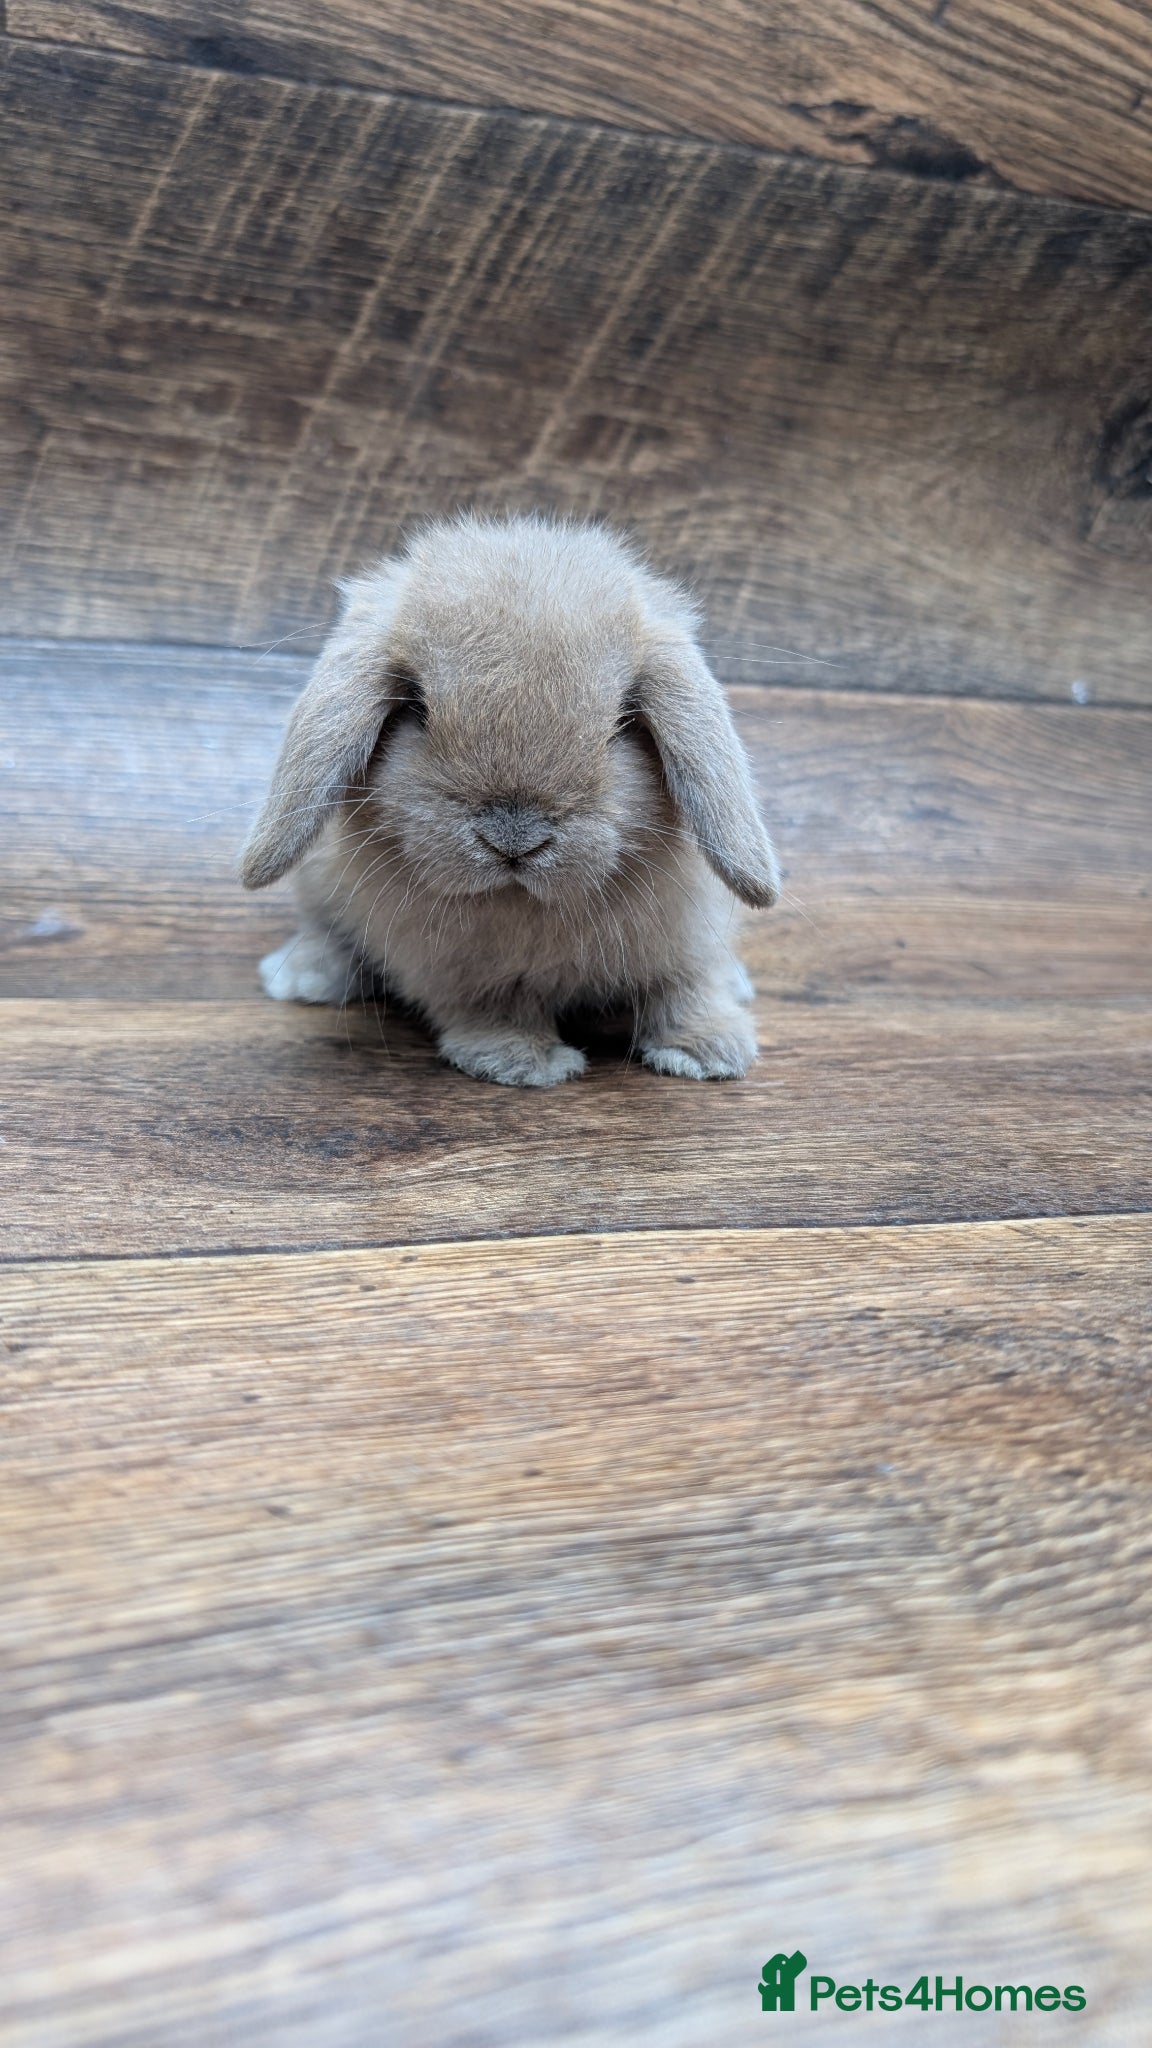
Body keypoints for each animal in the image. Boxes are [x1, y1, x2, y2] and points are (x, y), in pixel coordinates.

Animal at [240, 514, 779, 1087]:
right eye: (415, 707)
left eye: (622, 720)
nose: (514, 837)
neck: (524, 904)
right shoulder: (462, 971)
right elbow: (495, 1006)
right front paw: (524, 1061)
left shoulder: (687, 941)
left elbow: (686, 989)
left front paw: (709, 1051)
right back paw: (301, 977)